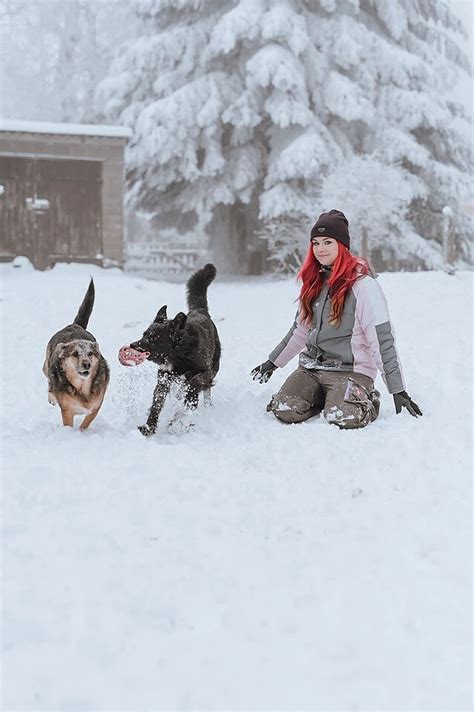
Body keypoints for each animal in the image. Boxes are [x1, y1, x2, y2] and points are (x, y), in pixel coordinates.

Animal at [42, 280, 109, 428]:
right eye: (74, 354)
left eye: (90, 353)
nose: (87, 364)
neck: (82, 387)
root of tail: (74, 325)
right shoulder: (67, 410)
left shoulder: (95, 407)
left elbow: (85, 424)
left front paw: (82, 431)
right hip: (47, 364)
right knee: (48, 377)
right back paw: (52, 396)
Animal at [131, 264, 221, 436]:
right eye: (144, 334)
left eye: (153, 338)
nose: (132, 346)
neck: (180, 353)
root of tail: (200, 310)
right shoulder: (164, 379)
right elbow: (157, 404)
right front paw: (149, 428)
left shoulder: (205, 372)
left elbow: (194, 385)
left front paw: (178, 419)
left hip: (214, 367)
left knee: (205, 392)